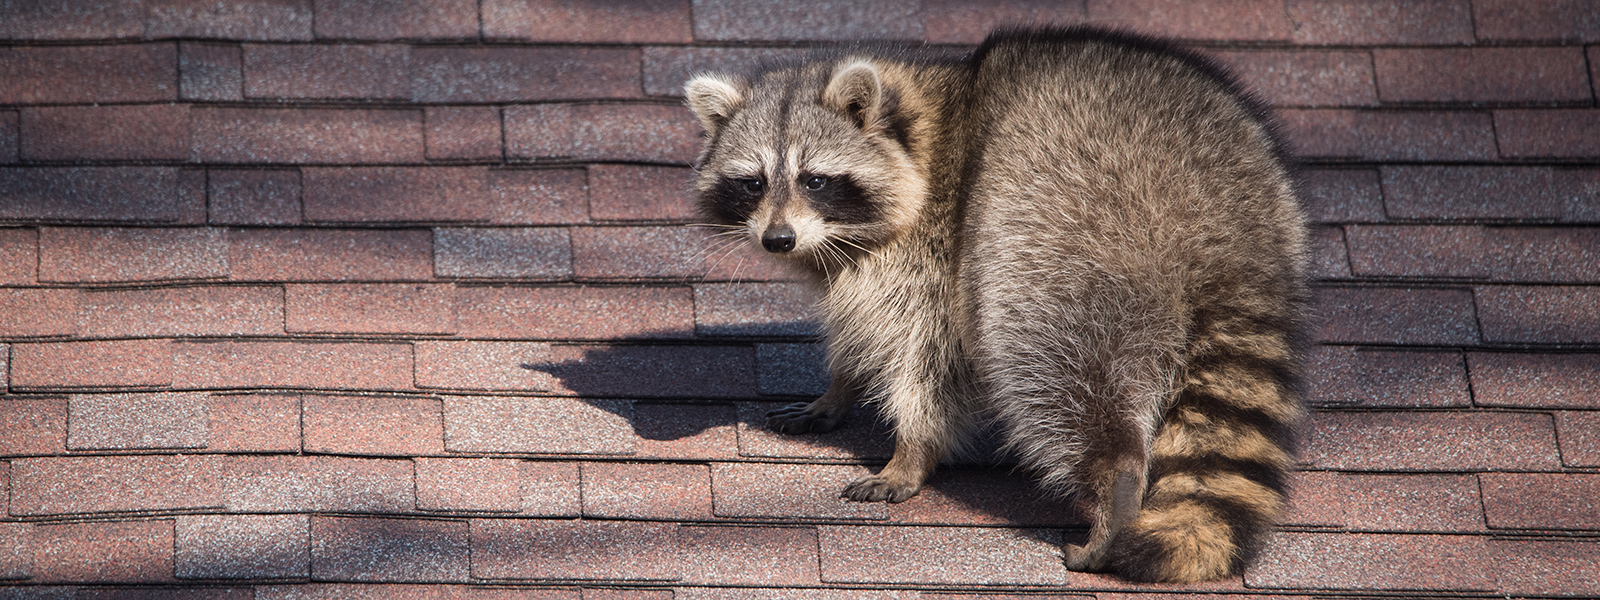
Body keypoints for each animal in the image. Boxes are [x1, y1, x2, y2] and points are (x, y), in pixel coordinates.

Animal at [685, 27, 1307, 583]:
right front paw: (840, 387)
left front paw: (912, 450)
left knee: (1050, 356)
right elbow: (858, 326)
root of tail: (1222, 219)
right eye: (753, 182)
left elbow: (931, 357)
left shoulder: (937, 250)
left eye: (814, 180)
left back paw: (1116, 483)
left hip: (1063, 229)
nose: (777, 239)